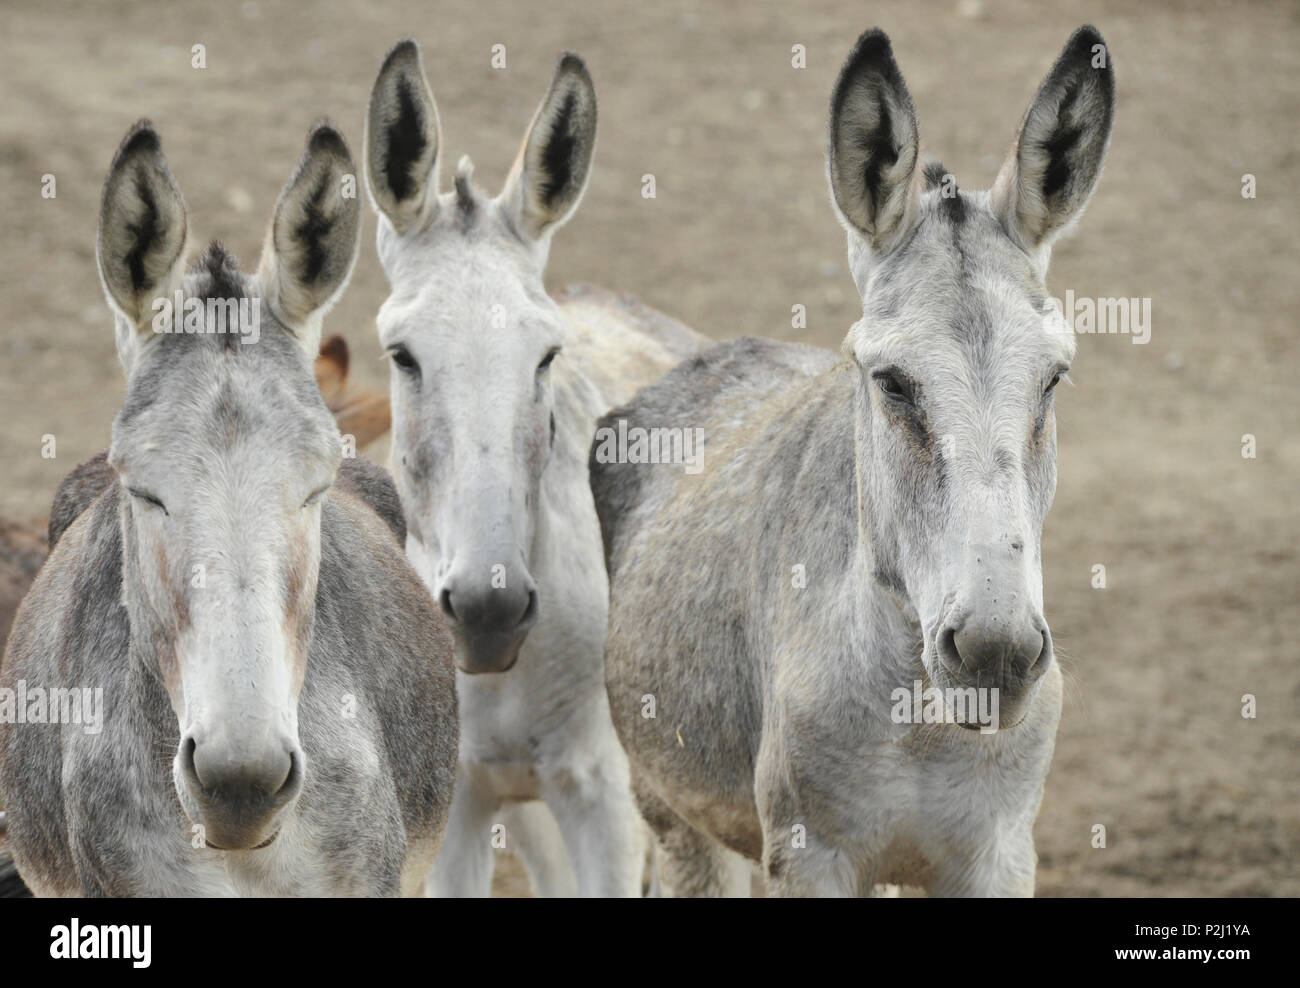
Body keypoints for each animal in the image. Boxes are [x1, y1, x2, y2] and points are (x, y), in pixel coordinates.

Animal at [590, 26, 1115, 896]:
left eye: (1054, 378)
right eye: (891, 382)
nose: (996, 657)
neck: (917, 715)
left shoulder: (997, 853)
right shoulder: (809, 853)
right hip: (676, 817)